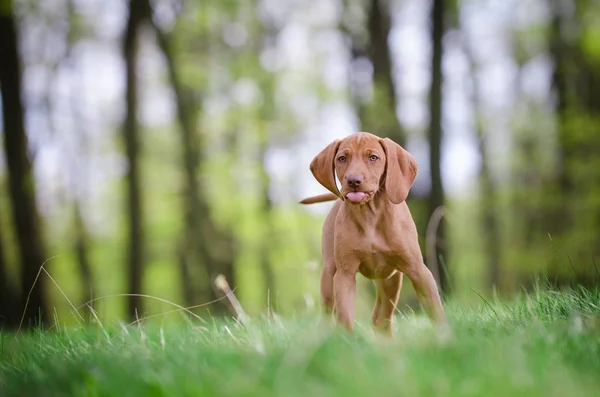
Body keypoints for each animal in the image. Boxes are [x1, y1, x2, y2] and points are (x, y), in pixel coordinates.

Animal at [300, 131, 446, 332]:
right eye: (342, 158)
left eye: (373, 157)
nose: (353, 181)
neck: (370, 215)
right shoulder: (345, 275)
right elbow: (345, 316)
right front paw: (347, 339)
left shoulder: (418, 270)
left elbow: (435, 310)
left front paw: (445, 336)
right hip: (330, 273)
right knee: (329, 313)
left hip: (390, 281)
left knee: (381, 318)